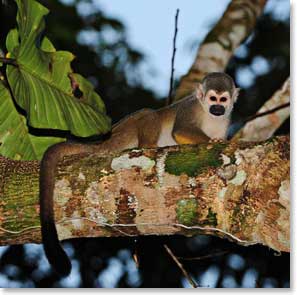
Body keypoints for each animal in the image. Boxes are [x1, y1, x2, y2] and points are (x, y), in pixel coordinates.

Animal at [39, 73, 238, 276]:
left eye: (223, 100)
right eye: (213, 98)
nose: (217, 108)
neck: (208, 114)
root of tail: (106, 140)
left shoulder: (226, 120)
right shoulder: (190, 108)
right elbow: (181, 130)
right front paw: (215, 141)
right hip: (127, 130)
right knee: (150, 114)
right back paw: (150, 145)